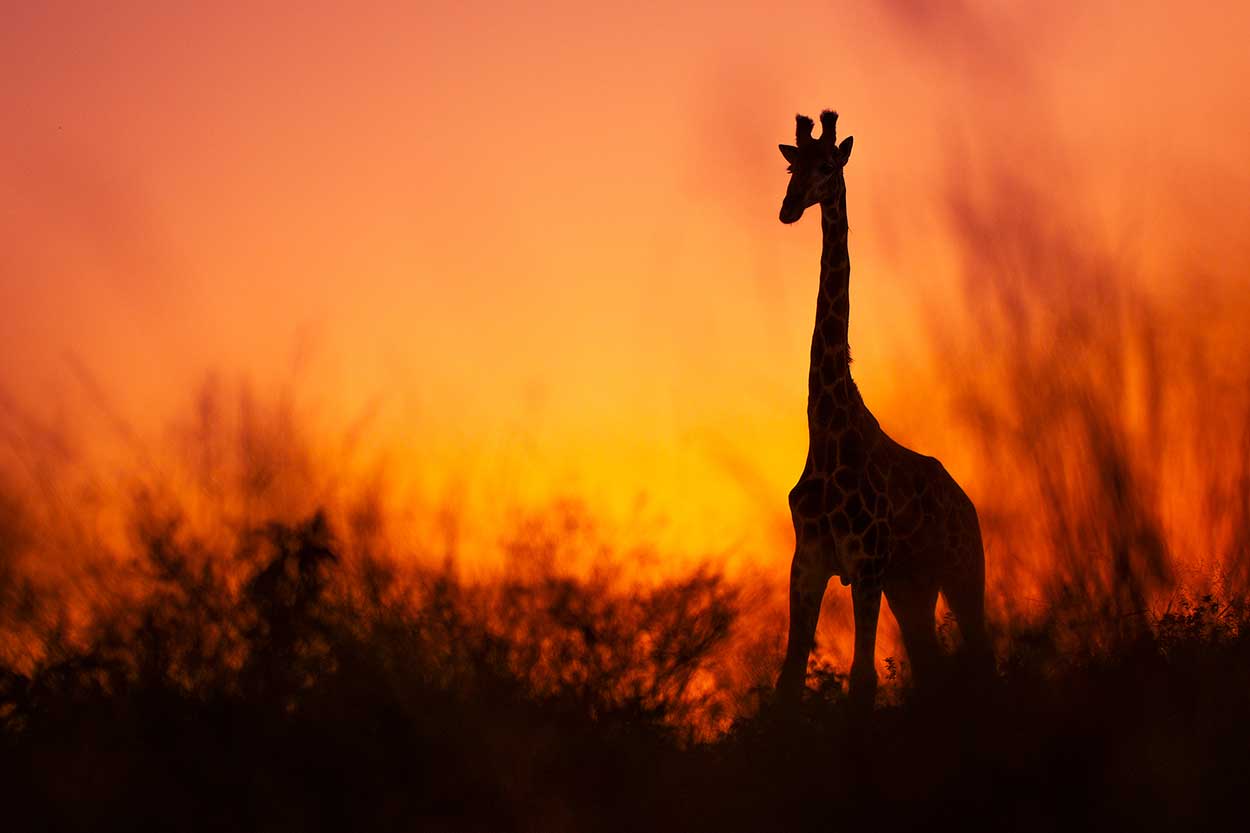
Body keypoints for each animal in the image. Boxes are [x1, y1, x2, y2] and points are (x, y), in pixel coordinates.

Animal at [774, 110, 989, 709]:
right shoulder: (809, 561)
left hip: (963, 573)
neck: (826, 428)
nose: (789, 208)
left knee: (982, 655)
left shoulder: (865, 562)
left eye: (828, 165)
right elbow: (788, 680)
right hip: (912, 586)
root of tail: (969, 506)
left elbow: (862, 678)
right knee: (933, 666)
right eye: (791, 167)